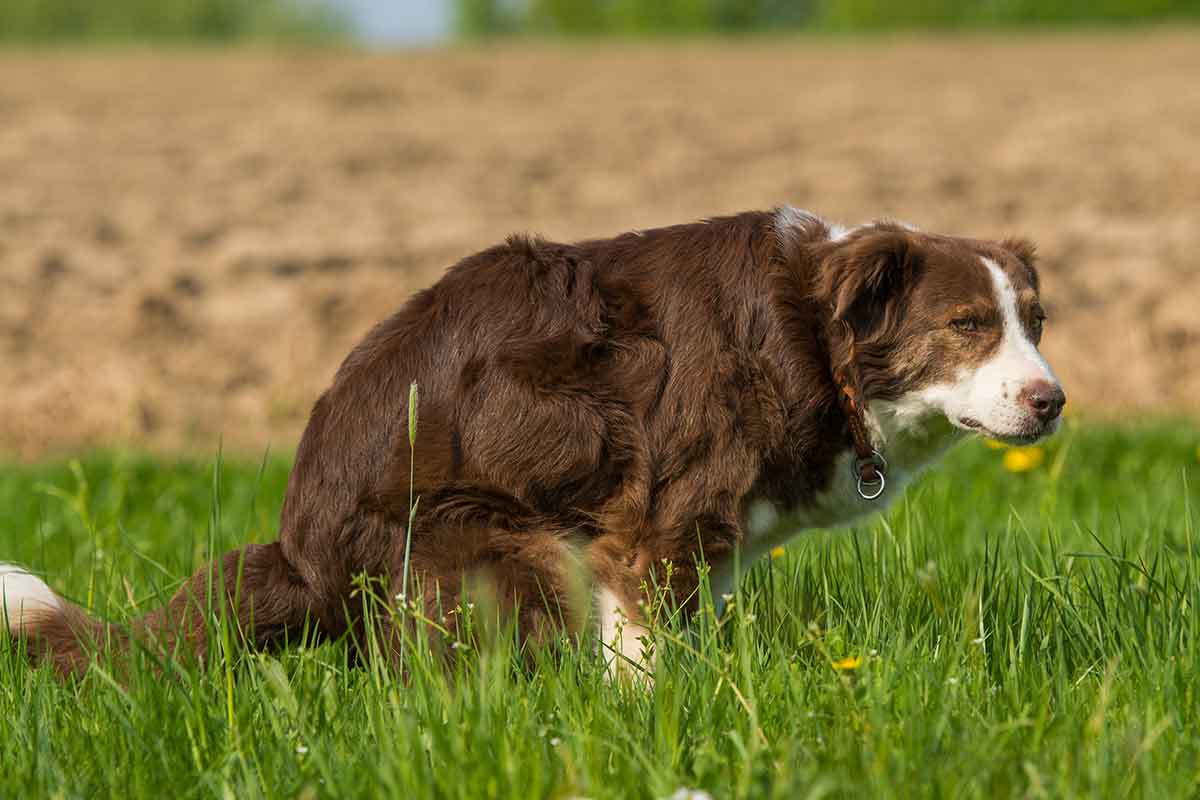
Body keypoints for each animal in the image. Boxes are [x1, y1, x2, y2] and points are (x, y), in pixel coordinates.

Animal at [2, 206, 1070, 676]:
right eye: (967, 325)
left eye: (1034, 322)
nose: (1052, 401)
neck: (814, 334)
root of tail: (299, 556)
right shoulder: (658, 517)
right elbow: (643, 652)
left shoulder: (713, 543)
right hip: (501, 541)